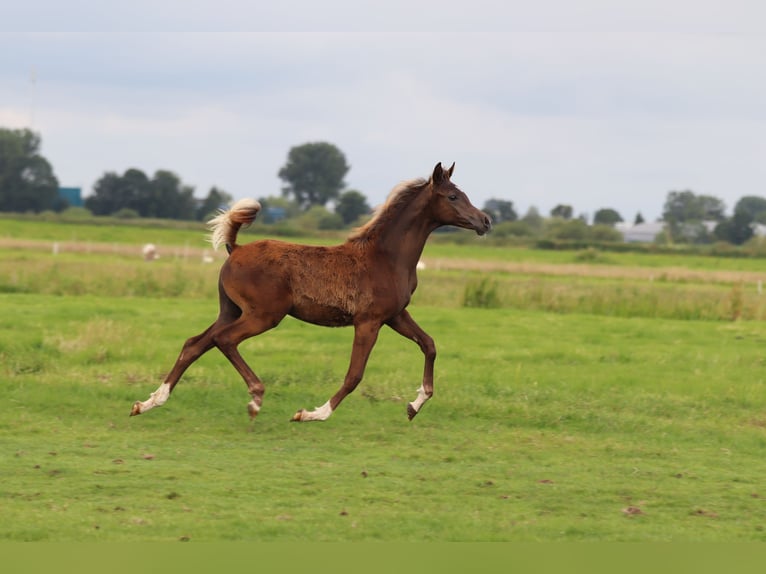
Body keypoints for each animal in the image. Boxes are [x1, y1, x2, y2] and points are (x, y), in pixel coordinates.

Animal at [131, 162, 492, 424]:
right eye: (453, 197)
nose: (485, 221)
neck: (386, 257)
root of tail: (236, 248)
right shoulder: (369, 321)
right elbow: (354, 375)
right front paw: (313, 413)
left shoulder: (395, 315)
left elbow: (429, 345)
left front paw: (414, 405)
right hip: (264, 315)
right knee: (223, 340)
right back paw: (255, 398)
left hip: (231, 310)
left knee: (194, 344)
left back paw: (149, 402)